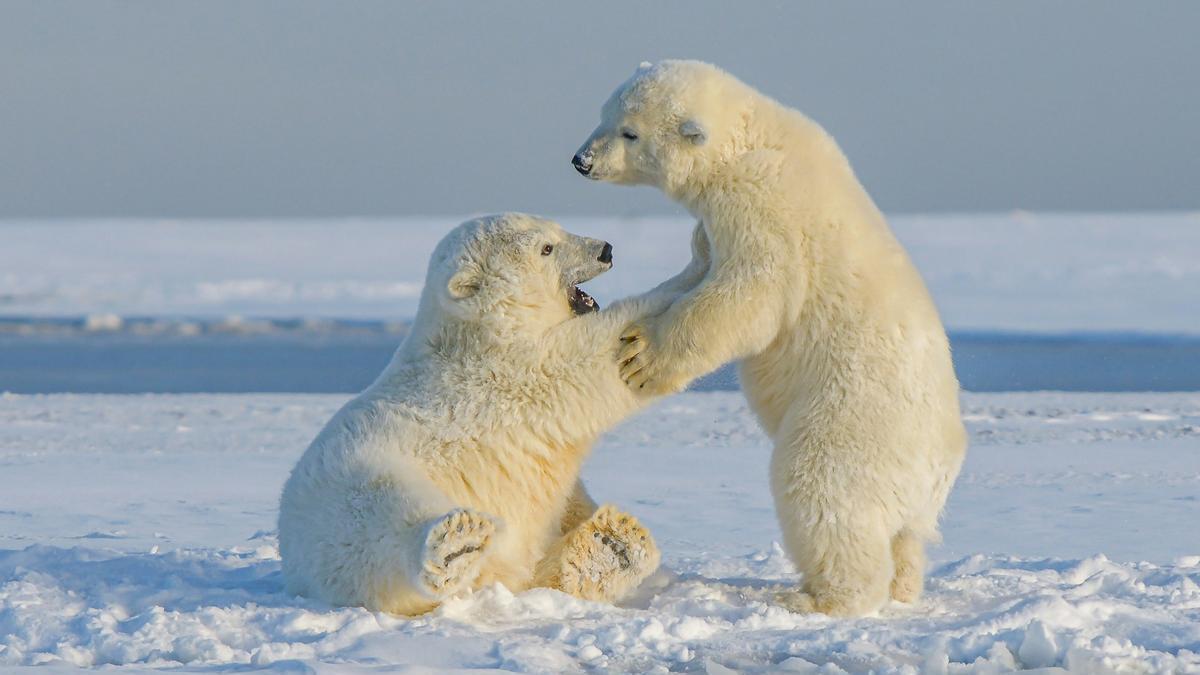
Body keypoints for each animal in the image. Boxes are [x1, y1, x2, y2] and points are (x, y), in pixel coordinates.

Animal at [278, 213, 690, 615]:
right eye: (546, 248)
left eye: (557, 227)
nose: (606, 249)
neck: (474, 332)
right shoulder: (507, 372)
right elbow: (587, 358)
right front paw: (692, 277)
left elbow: (565, 497)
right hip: (355, 482)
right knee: (383, 518)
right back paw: (456, 544)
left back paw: (613, 543)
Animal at [572, 60, 968, 617]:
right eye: (605, 114)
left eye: (630, 132)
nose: (581, 160)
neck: (754, 137)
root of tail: (939, 466)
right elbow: (705, 265)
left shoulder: (762, 205)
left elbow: (751, 291)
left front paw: (642, 356)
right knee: (905, 537)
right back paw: (904, 586)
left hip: (852, 420)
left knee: (821, 491)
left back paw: (816, 597)